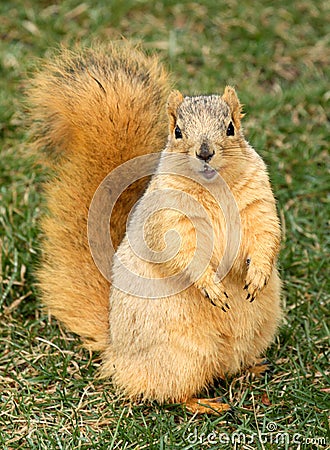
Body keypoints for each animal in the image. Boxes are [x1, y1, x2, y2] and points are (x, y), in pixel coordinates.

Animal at [28, 40, 282, 414]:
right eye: (177, 132)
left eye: (230, 127)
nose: (204, 152)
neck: (214, 188)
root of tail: (116, 353)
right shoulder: (169, 219)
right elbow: (183, 253)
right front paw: (210, 287)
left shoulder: (258, 204)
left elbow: (266, 235)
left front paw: (258, 275)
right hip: (180, 359)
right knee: (172, 392)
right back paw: (205, 404)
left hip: (255, 333)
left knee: (229, 368)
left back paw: (252, 370)